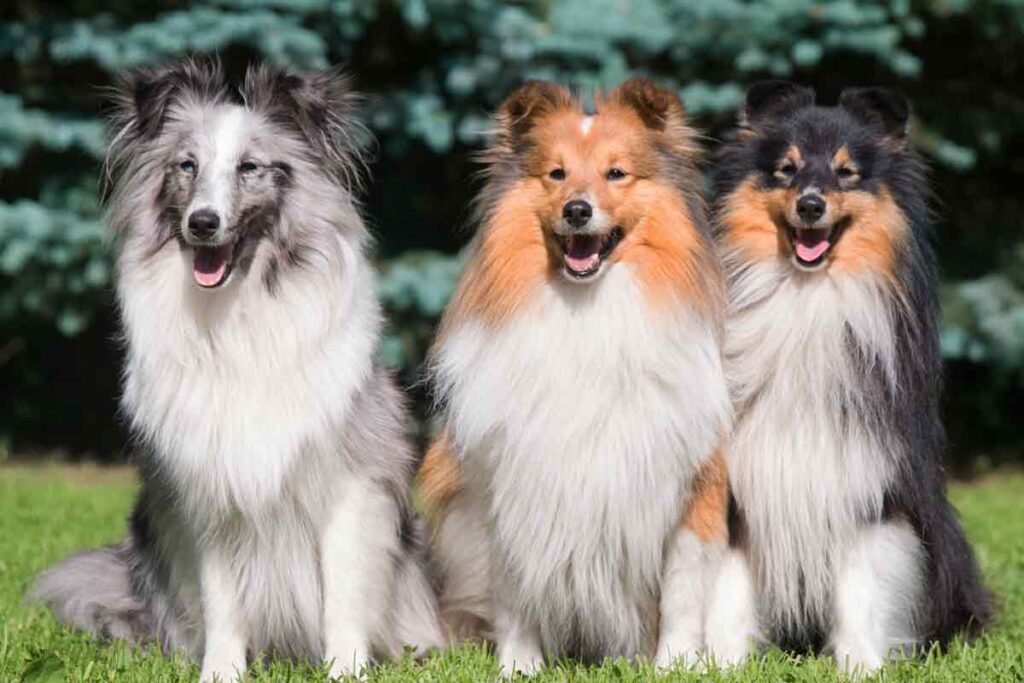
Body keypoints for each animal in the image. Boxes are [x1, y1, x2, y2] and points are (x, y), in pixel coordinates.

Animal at [30, 60, 440, 683]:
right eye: (187, 166)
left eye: (250, 167)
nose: (203, 223)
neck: (238, 316)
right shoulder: (208, 483)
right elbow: (222, 598)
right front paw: (221, 671)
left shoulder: (349, 487)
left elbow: (344, 592)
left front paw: (345, 669)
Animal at [419, 80, 733, 671]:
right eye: (556, 173)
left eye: (617, 173)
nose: (578, 211)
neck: (589, 312)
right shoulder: (513, 479)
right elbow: (515, 592)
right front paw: (519, 668)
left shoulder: (691, 484)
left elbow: (682, 593)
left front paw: (674, 665)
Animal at [708, 81, 987, 671]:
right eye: (786, 169)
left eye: (847, 172)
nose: (811, 205)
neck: (805, 299)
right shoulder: (738, 483)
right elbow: (728, 586)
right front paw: (715, 662)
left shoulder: (868, 480)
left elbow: (862, 587)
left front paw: (861, 665)